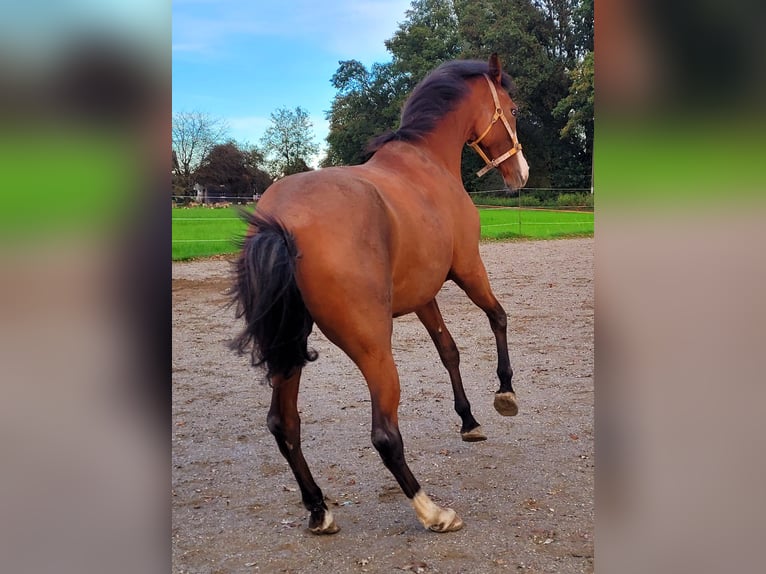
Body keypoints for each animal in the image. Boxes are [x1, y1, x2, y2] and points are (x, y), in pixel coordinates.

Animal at [231, 54, 532, 536]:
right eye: (513, 109)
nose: (520, 173)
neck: (426, 164)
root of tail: (282, 222)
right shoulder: (468, 269)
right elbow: (498, 317)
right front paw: (505, 393)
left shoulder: (424, 295)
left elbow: (449, 351)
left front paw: (468, 419)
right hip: (374, 349)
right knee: (385, 435)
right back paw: (432, 511)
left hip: (289, 347)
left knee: (284, 424)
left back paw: (318, 508)